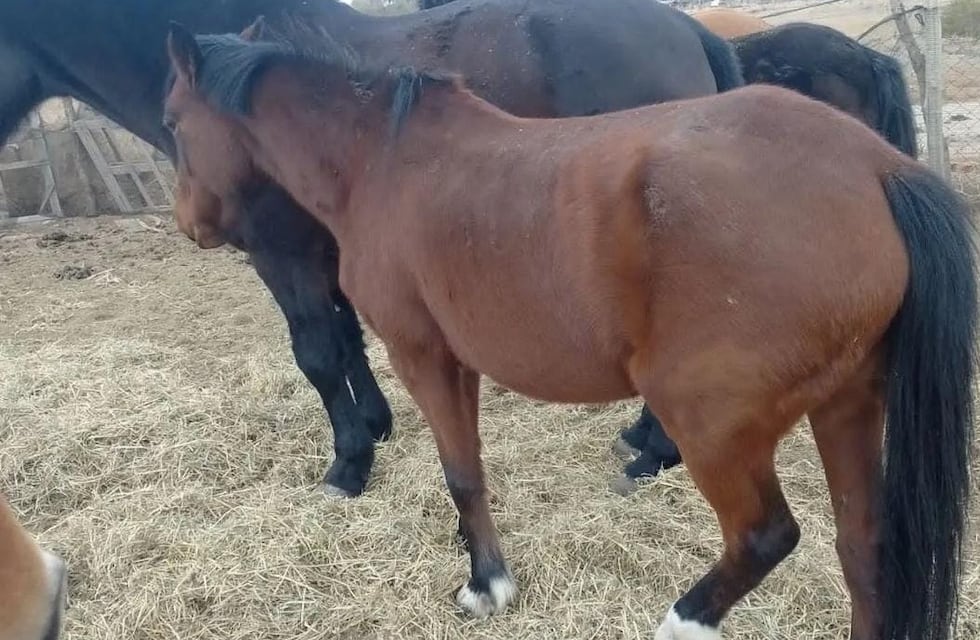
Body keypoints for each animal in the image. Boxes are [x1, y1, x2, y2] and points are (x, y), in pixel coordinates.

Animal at [0, 0, 741, 498]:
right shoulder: (331, 253)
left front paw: (349, 463)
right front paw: (377, 426)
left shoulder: (283, 256)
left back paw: (654, 456)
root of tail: (692, 30)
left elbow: (318, 354)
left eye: (174, 119)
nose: (191, 223)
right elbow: (348, 340)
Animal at [163, 21, 976, 640]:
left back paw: (683, 619)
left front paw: (486, 584)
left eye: (172, 122)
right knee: (863, 551)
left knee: (763, 537)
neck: (384, 161)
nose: (194, 226)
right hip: (847, 407)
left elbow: (462, 473)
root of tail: (875, 170)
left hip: (712, 426)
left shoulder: (422, 353)